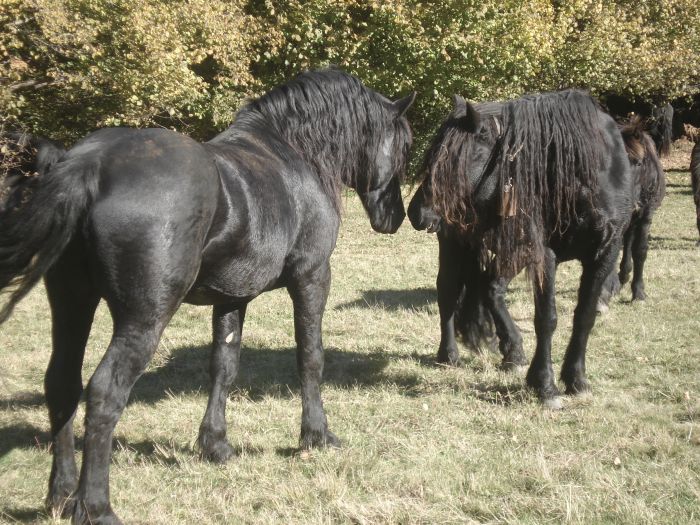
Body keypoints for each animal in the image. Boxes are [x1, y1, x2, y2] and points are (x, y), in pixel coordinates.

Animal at [0, 67, 416, 520]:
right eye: (404, 146)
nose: (396, 217)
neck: (294, 154)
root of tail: (91, 163)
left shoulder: (232, 297)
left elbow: (224, 365)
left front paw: (215, 444)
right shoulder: (311, 276)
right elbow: (310, 358)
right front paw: (316, 435)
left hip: (73, 302)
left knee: (62, 383)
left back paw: (61, 495)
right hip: (144, 318)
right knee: (105, 392)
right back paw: (96, 506)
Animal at [410, 90, 636, 408]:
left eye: (464, 157)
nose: (416, 212)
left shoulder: (604, 253)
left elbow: (585, 316)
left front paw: (576, 379)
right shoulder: (544, 257)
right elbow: (547, 319)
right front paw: (545, 385)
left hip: (514, 252)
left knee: (490, 287)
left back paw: (513, 350)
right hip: (457, 245)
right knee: (449, 293)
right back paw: (449, 354)